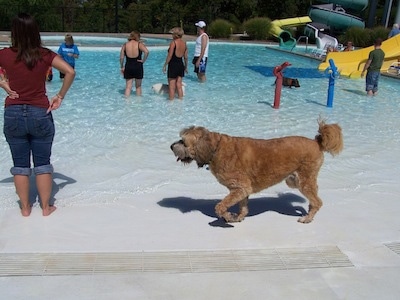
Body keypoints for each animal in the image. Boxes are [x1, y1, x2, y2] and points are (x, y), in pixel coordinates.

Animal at [170, 119, 342, 223]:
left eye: (183, 141)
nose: (171, 146)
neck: (215, 148)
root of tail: (316, 142)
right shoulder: (241, 190)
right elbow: (243, 206)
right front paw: (238, 217)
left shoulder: (241, 187)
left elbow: (220, 206)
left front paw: (228, 217)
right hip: (294, 180)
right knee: (314, 199)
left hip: (304, 180)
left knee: (318, 201)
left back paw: (307, 218)